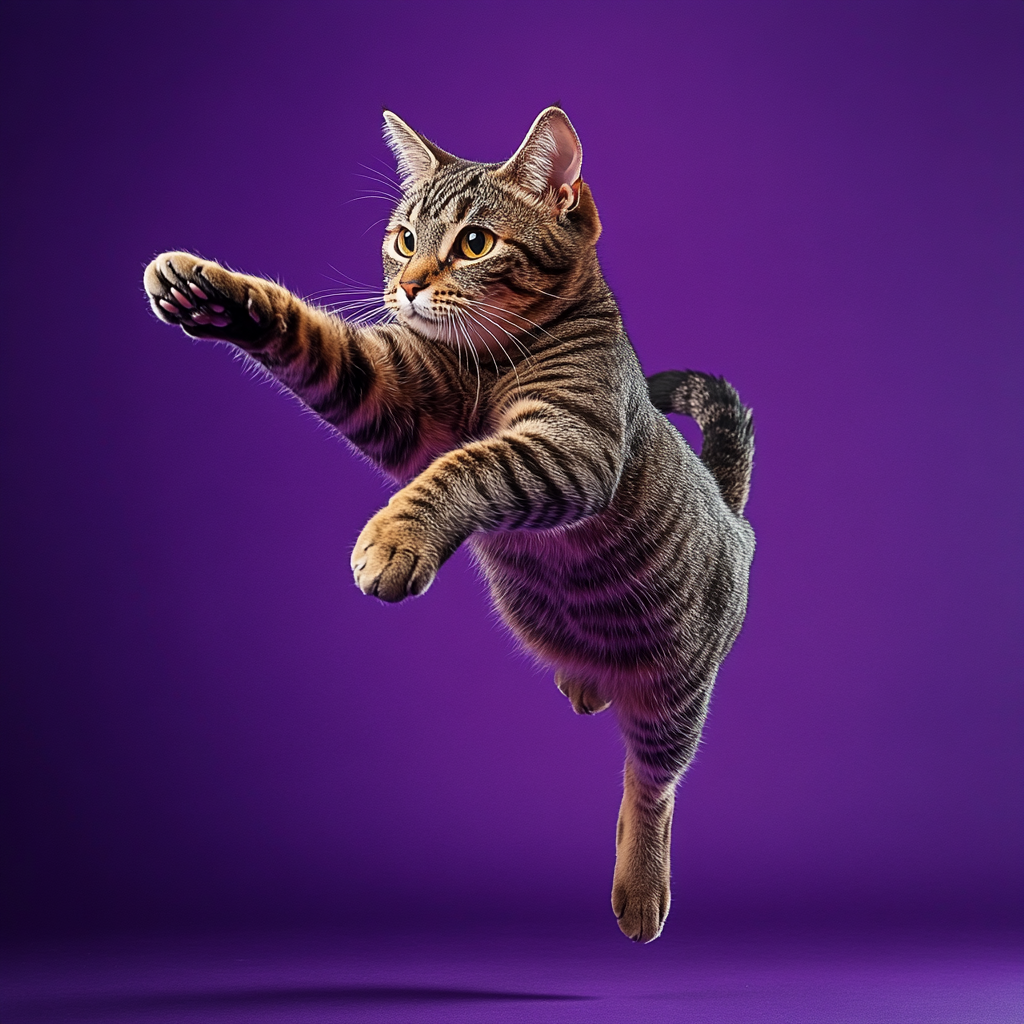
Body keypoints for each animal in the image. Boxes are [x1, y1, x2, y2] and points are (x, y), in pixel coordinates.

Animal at [142, 105, 753, 942]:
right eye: (404, 239)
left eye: (473, 244)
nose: (405, 286)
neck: (485, 367)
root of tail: (733, 514)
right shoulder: (400, 394)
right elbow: (317, 338)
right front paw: (213, 291)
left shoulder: (569, 445)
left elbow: (469, 468)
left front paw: (395, 539)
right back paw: (584, 682)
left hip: (678, 690)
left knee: (651, 784)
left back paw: (641, 885)